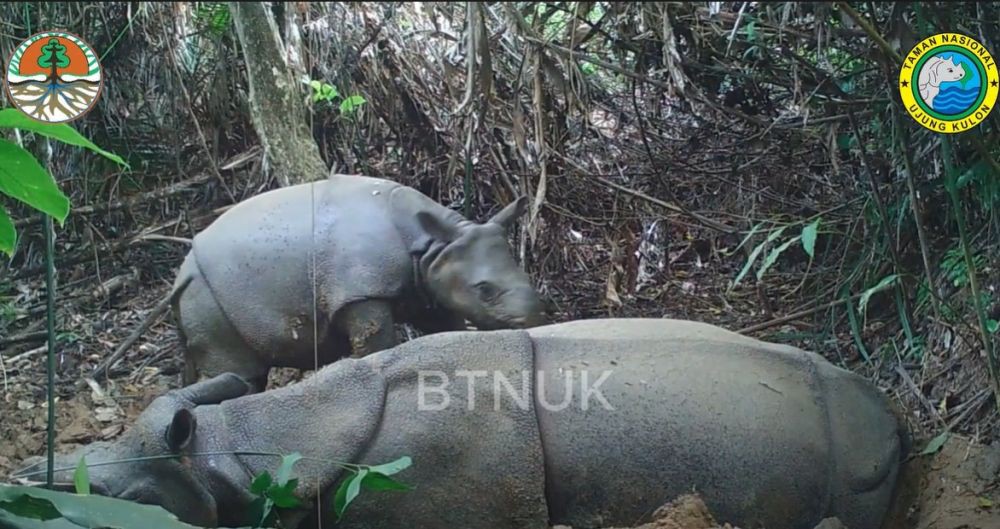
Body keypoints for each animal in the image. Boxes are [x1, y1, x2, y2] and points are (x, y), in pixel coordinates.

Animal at [172, 173, 548, 388]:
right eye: (484, 290)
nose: (533, 322)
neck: (431, 243)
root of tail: (182, 270)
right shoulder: (360, 293)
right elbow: (376, 344)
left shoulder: (427, 284)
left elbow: (447, 328)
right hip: (205, 294)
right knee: (240, 375)